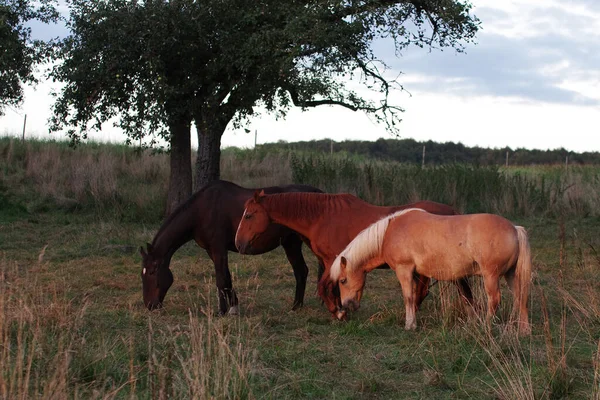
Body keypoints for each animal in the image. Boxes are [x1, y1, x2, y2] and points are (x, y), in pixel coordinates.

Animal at [139, 180, 324, 314]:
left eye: (152, 272)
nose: (149, 305)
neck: (201, 211)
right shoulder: (212, 251)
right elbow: (226, 277)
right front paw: (233, 306)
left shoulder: (218, 249)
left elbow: (221, 279)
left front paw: (222, 311)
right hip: (291, 244)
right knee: (302, 271)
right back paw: (298, 306)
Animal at [330, 208, 532, 336]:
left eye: (342, 280)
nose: (345, 305)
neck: (390, 231)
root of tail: (515, 229)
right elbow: (414, 296)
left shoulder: (404, 270)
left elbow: (408, 297)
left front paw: (409, 325)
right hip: (510, 275)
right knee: (520, 297)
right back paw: (523, 330)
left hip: (491, 276)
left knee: (495, 300)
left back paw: (485, 326)